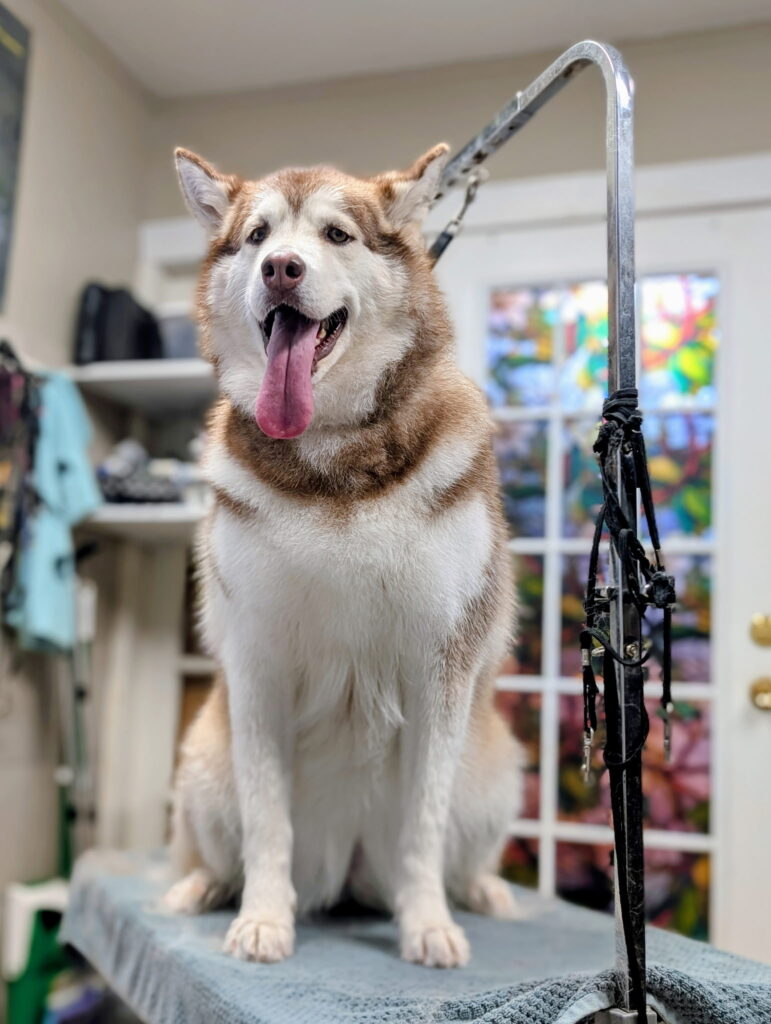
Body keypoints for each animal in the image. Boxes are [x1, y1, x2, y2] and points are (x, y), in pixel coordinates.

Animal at [164, 144, 523, 968]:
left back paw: (483, 891)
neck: (333, 457)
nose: (281, 269)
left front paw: (427, 926)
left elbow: (425, 822)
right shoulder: (256, 660)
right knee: (213, 846)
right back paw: (199, 886)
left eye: (335, 234)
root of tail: (349, 871)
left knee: (463, 849)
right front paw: (263, 919)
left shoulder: (440, 667)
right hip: (203, 764)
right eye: (258, 235)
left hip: (494, 773)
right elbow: (266, 818)